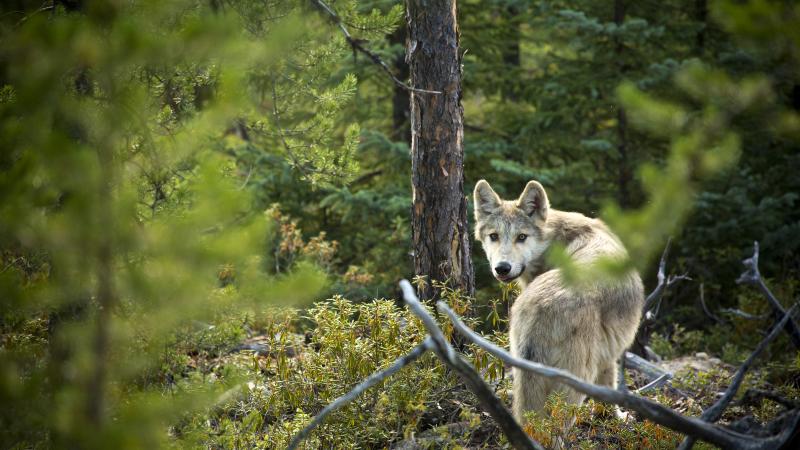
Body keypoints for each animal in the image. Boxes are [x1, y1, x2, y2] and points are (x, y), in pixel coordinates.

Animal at [476, 178, 644, 422]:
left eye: (522, 237)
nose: (502, 268)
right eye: (494, 236)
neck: (555, 241)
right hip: (576, 381)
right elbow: (610, 389)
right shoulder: (608, 357)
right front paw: (616, 418)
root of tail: (538, 307)